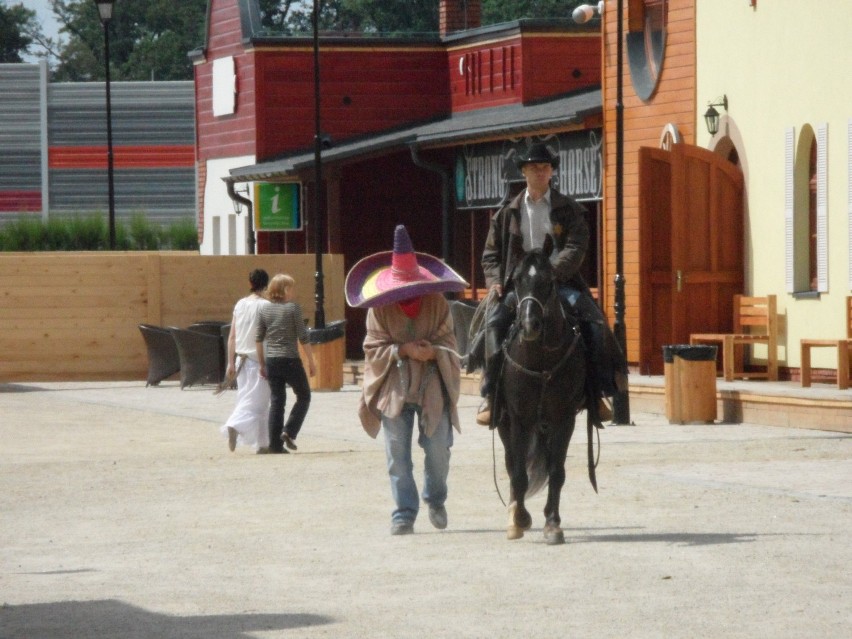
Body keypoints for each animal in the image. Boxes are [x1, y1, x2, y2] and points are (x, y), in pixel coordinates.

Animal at [492, 240, 600, 544]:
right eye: (517, 280)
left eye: (548, 281)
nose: (530, 325)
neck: (540, 361)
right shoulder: (518, 419)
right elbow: (518, 473)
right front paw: (519, 520)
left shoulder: (564, 418)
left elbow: (556, 470)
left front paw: (552, 524)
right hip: (505, 422)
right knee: (510, 464)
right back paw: (514, 515)